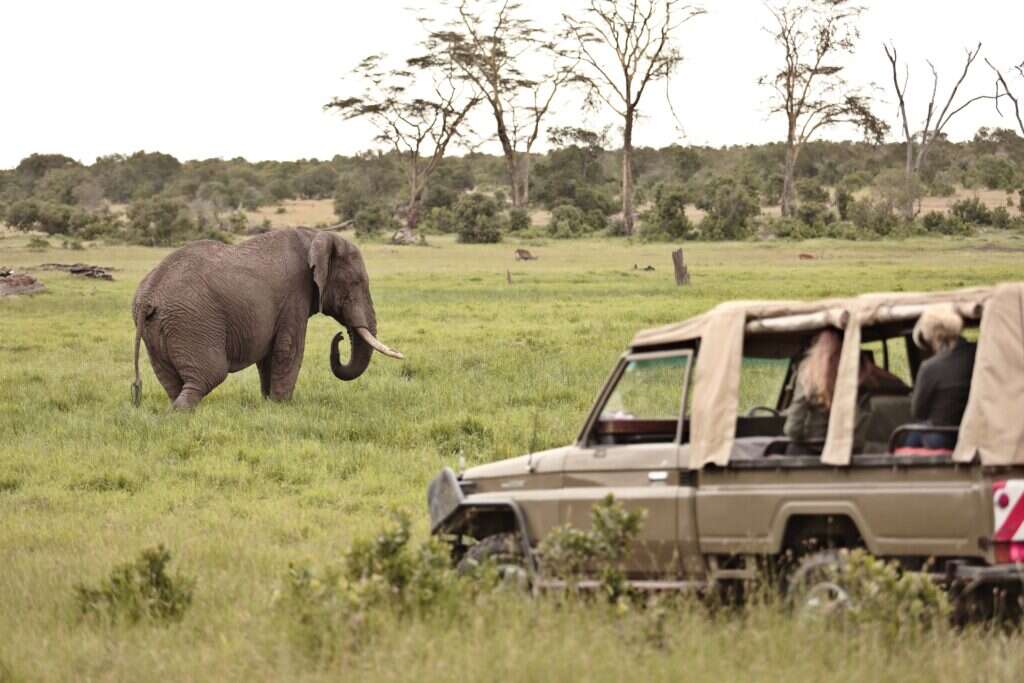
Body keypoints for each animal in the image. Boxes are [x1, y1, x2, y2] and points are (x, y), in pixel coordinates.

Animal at [135, 228, 403, 411]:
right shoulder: (295, 293)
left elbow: (268, 355)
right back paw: (181, 413)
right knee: (209, 375)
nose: (338, 337)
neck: (315, 235)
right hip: (192, 322)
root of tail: (148, 296)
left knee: (171, 381)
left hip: (158, 329)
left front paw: (268, 404)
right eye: (356, 283)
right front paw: (282, 405)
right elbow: (289, 349)